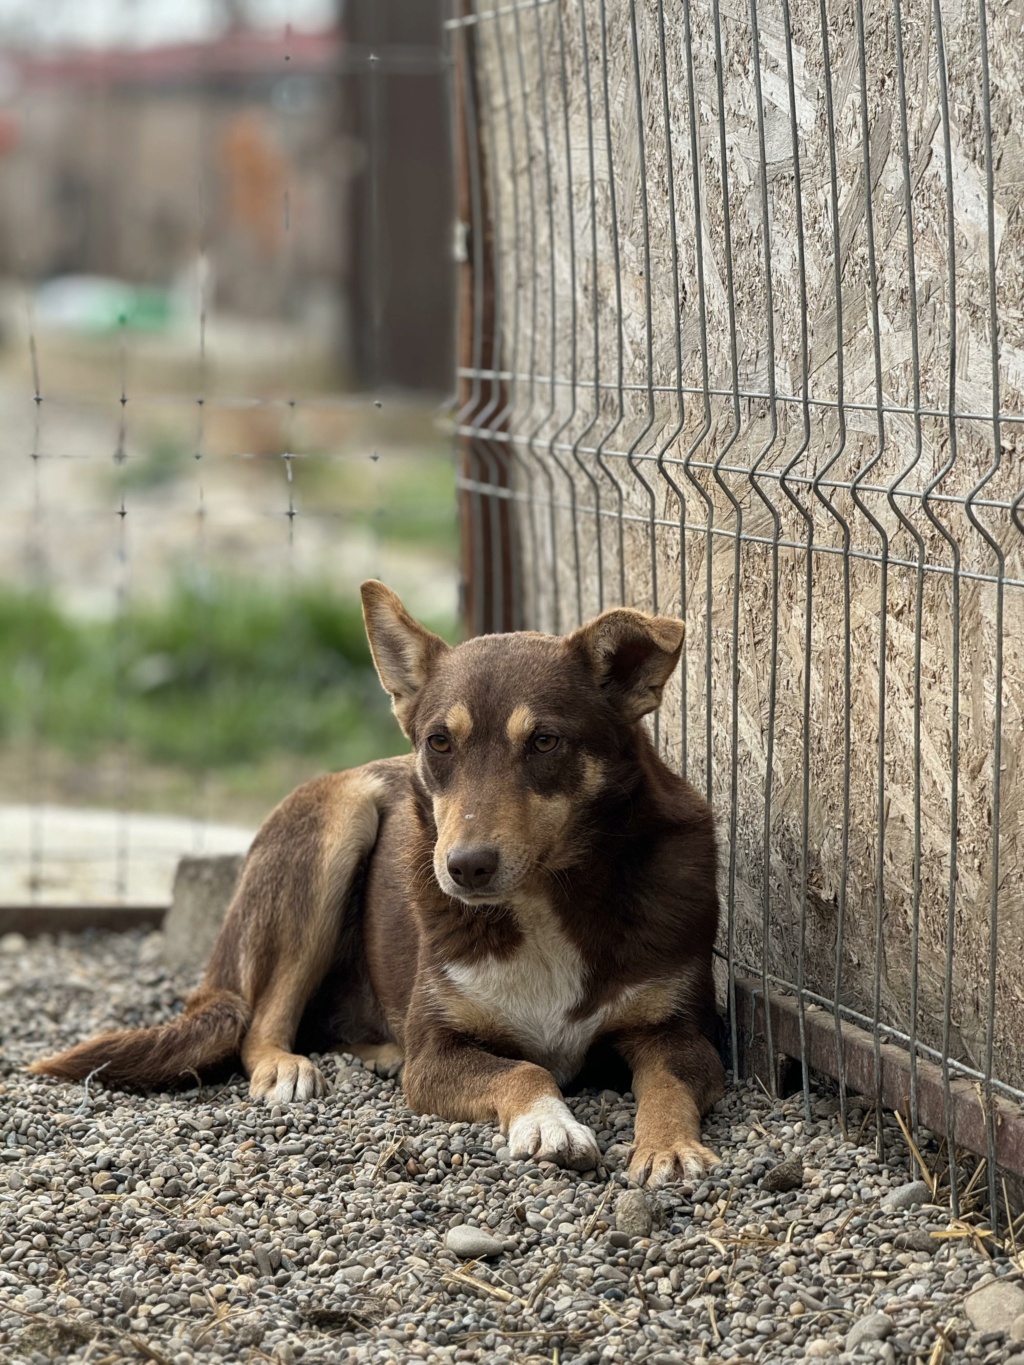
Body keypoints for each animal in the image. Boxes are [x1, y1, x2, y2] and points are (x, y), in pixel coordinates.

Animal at [32, 581, 726, 1190]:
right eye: (439, 742)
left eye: (546, 741)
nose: (465, 867)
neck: (544, 902)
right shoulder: (437, 1056)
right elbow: (526, 1072)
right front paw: (550, 1125)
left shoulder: (680, 1035)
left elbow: (665, 1085)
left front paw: (668, 1148)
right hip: (342, 822)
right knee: (261, 1020)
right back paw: (287, 1066)